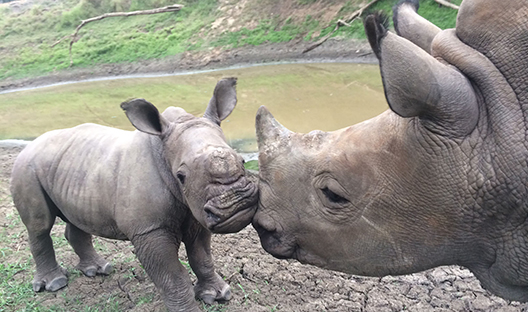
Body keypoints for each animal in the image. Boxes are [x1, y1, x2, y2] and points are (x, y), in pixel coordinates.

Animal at [9, 77, 258, 312]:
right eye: (181, 176)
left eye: (242, 160)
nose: (236, 204)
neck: (164, 152)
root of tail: (29, 146)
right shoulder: (149, 229)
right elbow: (172, 276)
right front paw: (188, 309)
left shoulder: (197, 212)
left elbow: (202, 257)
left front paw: (217, 295)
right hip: (26, 168)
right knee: (39, 226)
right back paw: (55, 284)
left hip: (73, 168)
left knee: (76, 217)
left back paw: (99, 270)